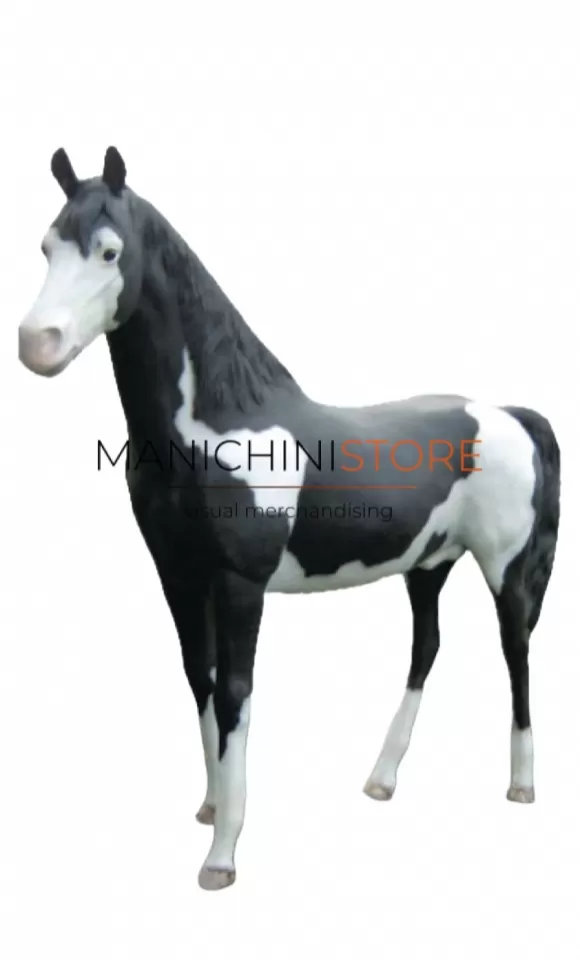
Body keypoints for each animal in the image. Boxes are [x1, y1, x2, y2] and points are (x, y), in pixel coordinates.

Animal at [17, 147, 561, 891]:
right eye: (47, 245)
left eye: (108, 250)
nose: (37, 344)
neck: (220, 424)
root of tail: (507, 413)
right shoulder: (179, 576)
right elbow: (200, 678)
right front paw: (210, 807)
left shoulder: (240, 584)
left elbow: (236, 692)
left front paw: (222, 856)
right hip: (429, 564)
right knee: (427, 647)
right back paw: (382, 779)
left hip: (503, 568)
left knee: (516, 650)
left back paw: (521, 786)